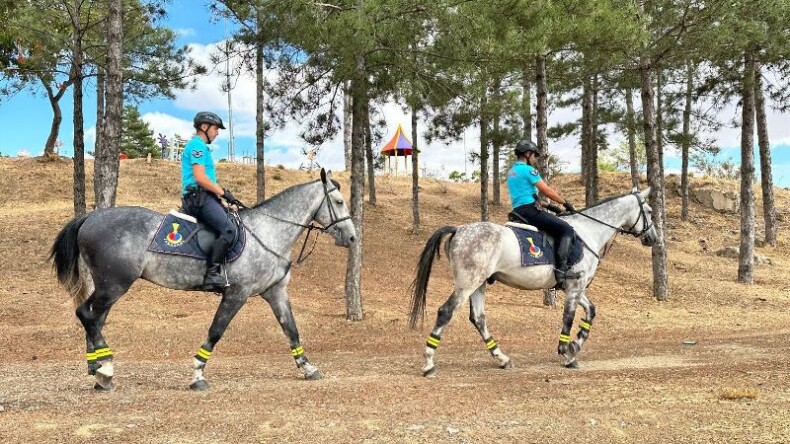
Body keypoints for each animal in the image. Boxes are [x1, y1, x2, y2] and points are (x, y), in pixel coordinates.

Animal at [50, 168, 356, 390]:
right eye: (339, 202)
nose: (352, 238)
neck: (268, 231)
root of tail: (90, 218)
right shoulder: (237, 293)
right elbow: (216, 331)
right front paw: (197, 374)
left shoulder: (275, 292)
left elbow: (291, 329)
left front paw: (308, 367)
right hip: (113, 284)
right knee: (87, 314)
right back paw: (105, 369)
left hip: (109, 286)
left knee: (94, 318)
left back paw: (99, 368)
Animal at [412, 187, 660, 374]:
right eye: (648, 210)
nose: (653, 238)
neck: (588, 231)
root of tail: (459, 229)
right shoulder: (574, 287)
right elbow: (568, 318)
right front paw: (566, 353)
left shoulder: (574, 287)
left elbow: (590, 312)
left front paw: (575, 345)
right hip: (467, 283)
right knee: (446, 312)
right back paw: (429, 363)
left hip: (479, 284)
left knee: (479, 319)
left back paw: (502, 358)